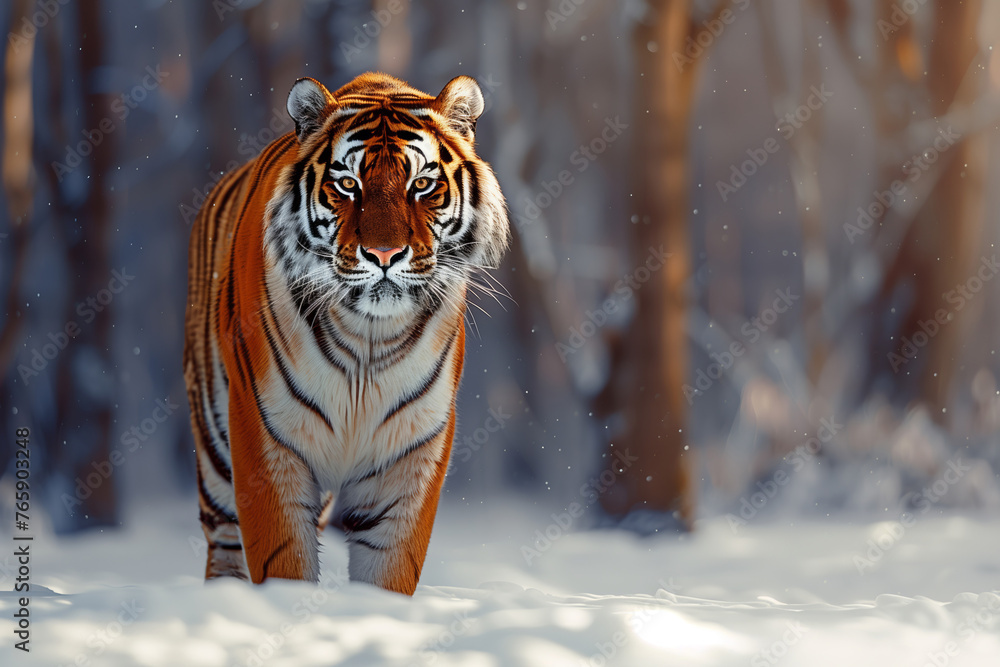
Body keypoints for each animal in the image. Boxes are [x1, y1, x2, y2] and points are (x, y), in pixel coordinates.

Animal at [182, 72, 508, 595]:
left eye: (422, 184)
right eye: (348, 185)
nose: (384, 254)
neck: (368, 338)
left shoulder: (409, 454)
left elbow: (390, 571)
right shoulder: (265, 440)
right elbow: (283, 562)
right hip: (215, 447)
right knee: (226, 545)